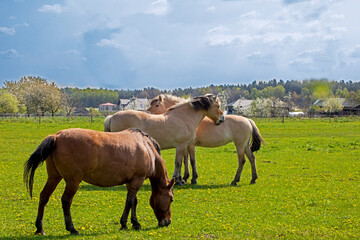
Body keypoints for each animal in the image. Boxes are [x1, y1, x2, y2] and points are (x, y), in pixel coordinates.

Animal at [23, 128, 175, 235]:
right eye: (171, 199)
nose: (167, 222)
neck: (147, 148)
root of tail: (56, 136)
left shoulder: (131, 181)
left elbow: (134, 202)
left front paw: (135, 223)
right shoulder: (137, 180)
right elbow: (129, 202)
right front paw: (124, 224)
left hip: (54, 177)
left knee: (44, 197)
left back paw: (40, 228)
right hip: (73, 181)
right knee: (66, 200)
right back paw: (72, 228)